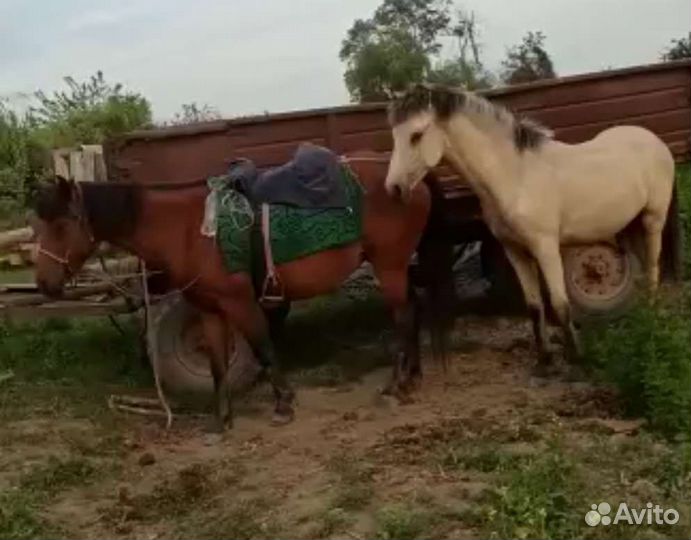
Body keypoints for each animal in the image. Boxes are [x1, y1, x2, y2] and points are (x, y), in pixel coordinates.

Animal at [31, 151, 450, 431]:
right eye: (38, 226)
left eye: (63, 224)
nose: (44, 283)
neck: (187, 231)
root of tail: (408, 177)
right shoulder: (210, 310)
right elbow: (217, 363)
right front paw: (222, 419)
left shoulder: (240, 302)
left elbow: (264, 347)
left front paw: (284, 405)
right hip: (398, 266)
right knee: (412, 310)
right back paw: (412, 378)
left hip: (389, 265)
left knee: (402, 317)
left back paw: (396, 386)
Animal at [384, 83, 675, 370]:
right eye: (394, 136)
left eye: (416, 135)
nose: (393, 188)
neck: (515, 176)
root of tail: (654, 140)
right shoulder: (515, 251)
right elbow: (534, 305)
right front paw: (544, 360)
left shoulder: (545, 247)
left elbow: (560, 303)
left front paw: (577, 357)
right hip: (629, 225)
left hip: (653, 219)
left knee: (652, 268)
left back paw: (651, 319)